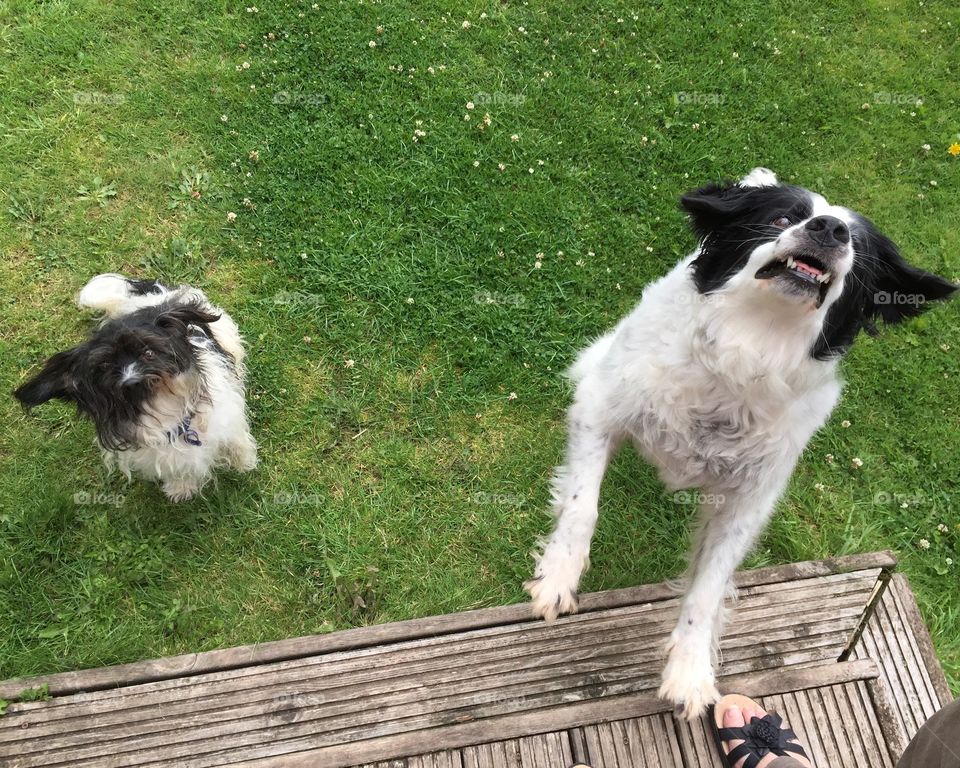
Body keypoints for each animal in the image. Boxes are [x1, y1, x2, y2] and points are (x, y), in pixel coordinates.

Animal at [15, 272, 255, 500]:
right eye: (105, 367)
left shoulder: (228, 420)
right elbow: (180, 470)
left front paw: (245, 463)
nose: (132, 381)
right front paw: (181, 488)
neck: (164, 404)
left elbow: (237, 443)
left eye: (148, 352)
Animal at [524, 168, 952, 720]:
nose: (830, 228)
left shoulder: (749, 499)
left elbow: (708, 586)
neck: (749, 348)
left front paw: (690, 669)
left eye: (856, 244)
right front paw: (558, 576)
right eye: (783, 218)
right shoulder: (599, 407)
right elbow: (581, 505)